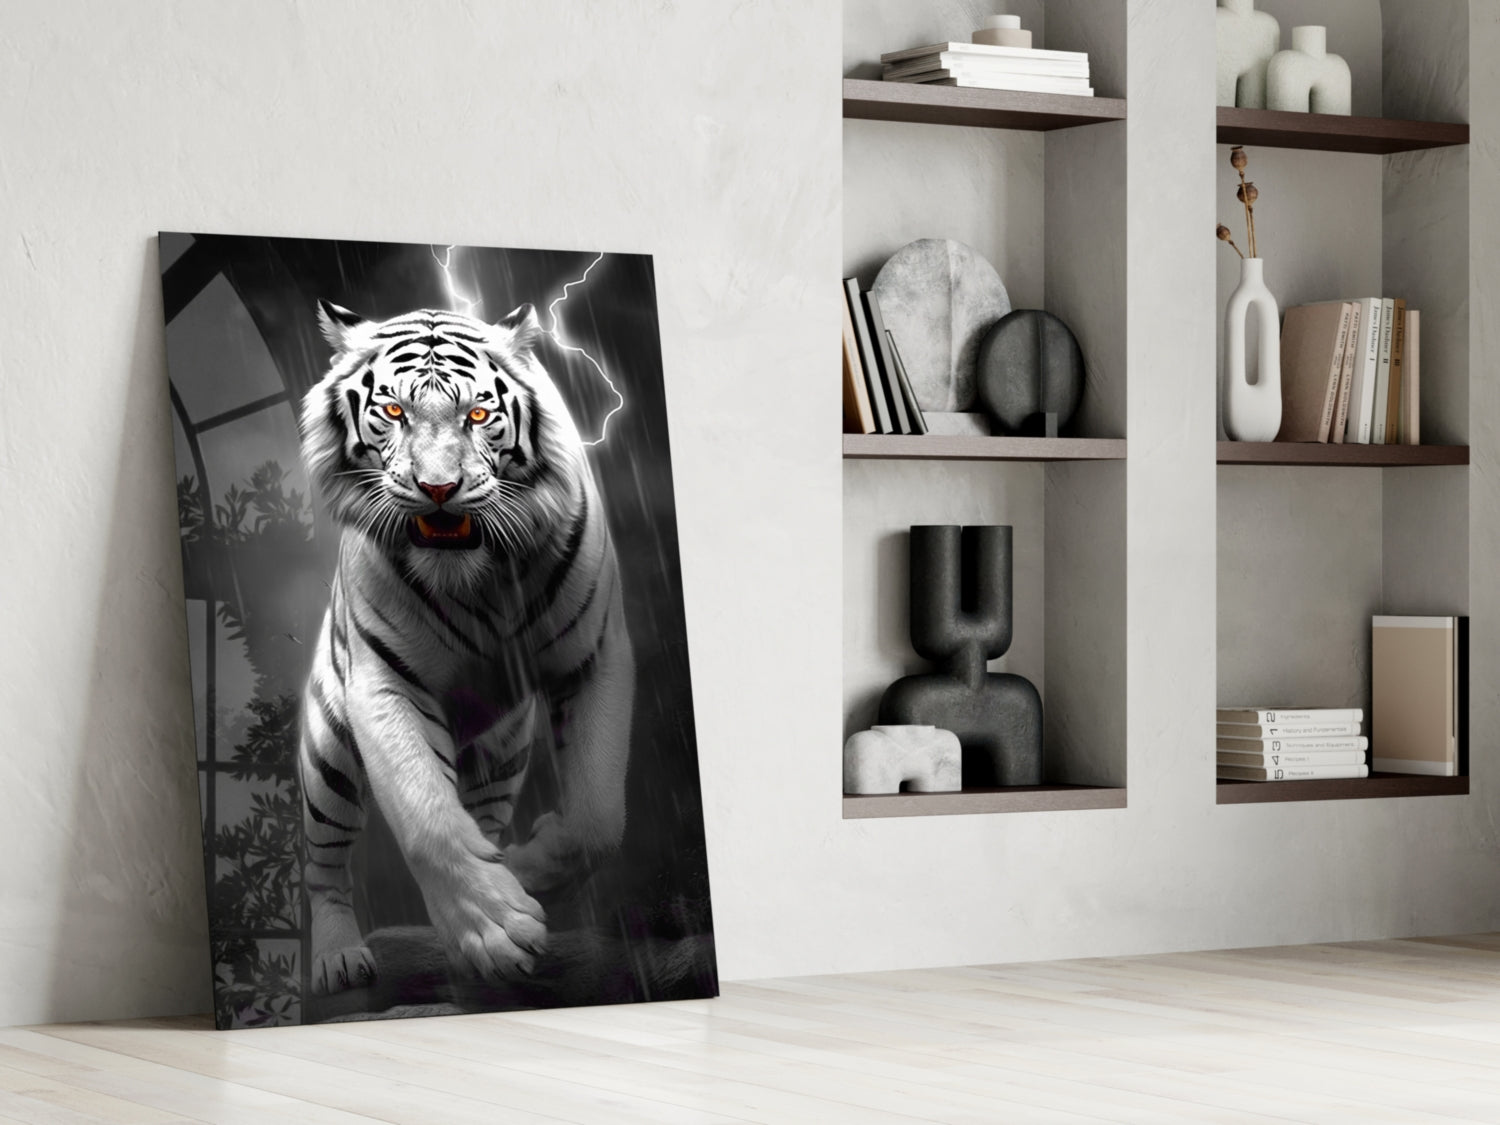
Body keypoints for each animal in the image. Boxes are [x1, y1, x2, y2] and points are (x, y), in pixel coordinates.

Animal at [296, 299, 635, 997]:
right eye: (393, 410)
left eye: (477, 415)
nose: (438, 489)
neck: (478, 575)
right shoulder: (384, 682)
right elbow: (426, 815)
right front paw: (496, 930)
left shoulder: (593, 657)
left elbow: (597, 819)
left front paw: (523, 873)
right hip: (327, 753)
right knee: (324, 865)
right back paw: (338, 958)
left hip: (503, 756)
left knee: (481, 813)